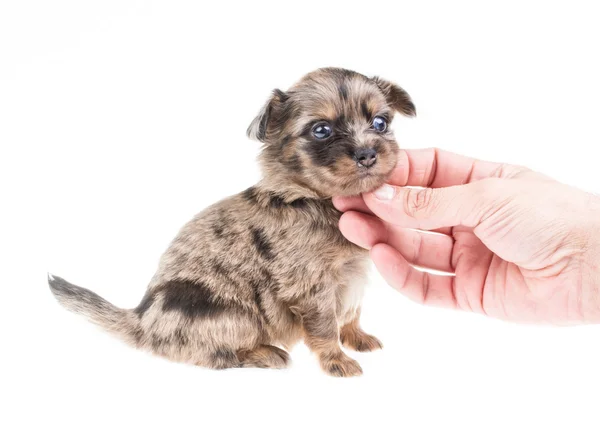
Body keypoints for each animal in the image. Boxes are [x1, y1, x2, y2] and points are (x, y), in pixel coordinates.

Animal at [47, 68, 414, 378]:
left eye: (380, 123)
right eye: (321, 130)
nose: (368, 154)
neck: (310, 198)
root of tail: (141, 321)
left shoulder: (353, 275)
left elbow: (352, 312)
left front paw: (357, 336)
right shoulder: (311, 287)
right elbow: (325, 326)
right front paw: (336, 360)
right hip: (230, 315)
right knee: (214, 354)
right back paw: (263, 353)